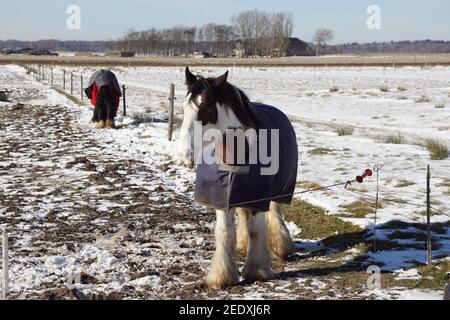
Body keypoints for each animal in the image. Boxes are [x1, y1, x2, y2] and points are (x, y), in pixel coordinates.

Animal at [177, 68, 298, 290]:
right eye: (184, 107)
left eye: (206, 107)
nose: (183, 155)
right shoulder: (222, 197)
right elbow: (224, 232)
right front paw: (221, 277)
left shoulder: (259, 197)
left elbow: (256, 230)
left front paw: (256, 271)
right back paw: (242, 245)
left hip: (277, 190)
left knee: (275, 213)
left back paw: (282, 247)